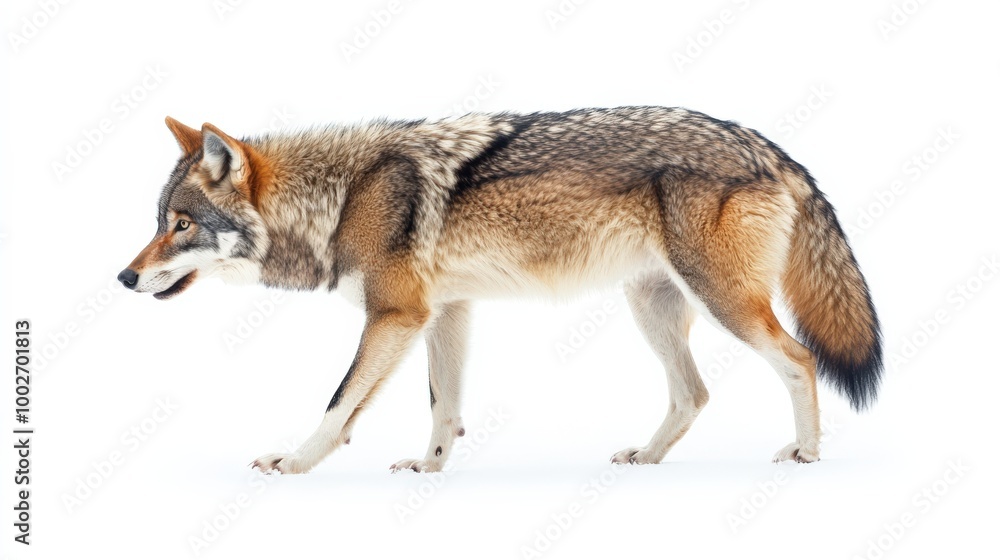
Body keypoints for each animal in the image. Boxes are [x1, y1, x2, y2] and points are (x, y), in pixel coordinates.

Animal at [118, 107, 882, 474]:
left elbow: (338, 406)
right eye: (159, 222)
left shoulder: (395, 315)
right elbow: (444, 408)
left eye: (181, 224)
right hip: (653, 308)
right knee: (694, 394)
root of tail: (768, 146)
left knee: (799, 360)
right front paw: (429, 471)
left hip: (722, 303)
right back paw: (646, 459)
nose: (123, 277)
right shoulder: (445, 313)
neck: (340, 197)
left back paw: (807, 455)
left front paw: (295, 462)